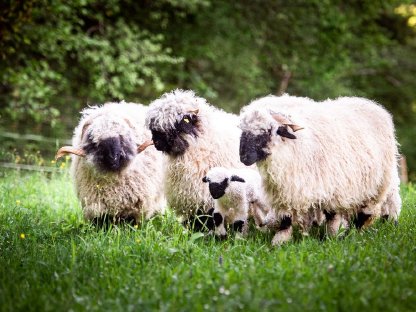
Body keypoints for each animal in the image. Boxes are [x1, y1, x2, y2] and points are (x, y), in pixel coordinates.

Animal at [239, 94, 402, 245]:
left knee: (365, 212)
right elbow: (286, 218)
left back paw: (355, 233)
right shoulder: (286, 190)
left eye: (267, 131)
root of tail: (369, 103)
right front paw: (279, 242)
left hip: (378, 184)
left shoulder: (334, 189)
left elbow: (332, 216)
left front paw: (331, 238)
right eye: (243, 131)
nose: (244, 157)